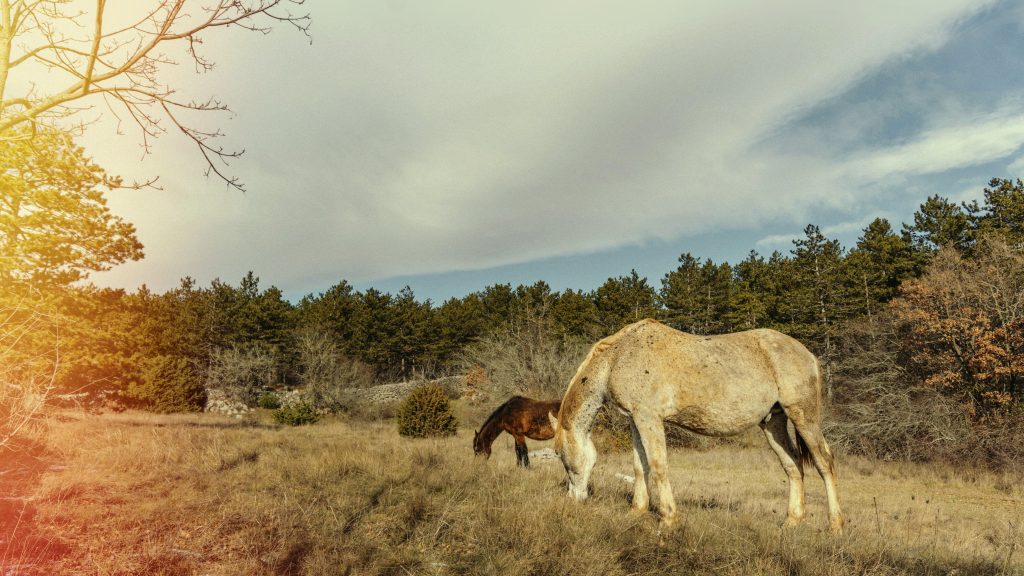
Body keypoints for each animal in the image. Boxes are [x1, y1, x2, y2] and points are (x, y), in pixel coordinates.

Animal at [549, 318, 844, 534]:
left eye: (560, 455)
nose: (573, 500)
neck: (619, 357)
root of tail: (808, 354)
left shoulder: (649, 418)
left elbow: (658, 466)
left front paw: (668, 519)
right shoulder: (635, 419)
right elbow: (640, 466)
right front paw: (636, 510)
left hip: (803, 417)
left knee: (824, 463)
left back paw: (835, 526)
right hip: (774, 422)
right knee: (793, 465)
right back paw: (792, 521)